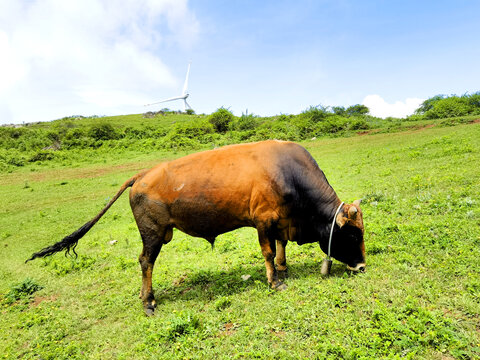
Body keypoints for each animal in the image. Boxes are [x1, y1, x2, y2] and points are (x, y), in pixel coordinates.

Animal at [27, 141, 364, 316]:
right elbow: (268, 252)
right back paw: (148, 301)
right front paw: (275, 281)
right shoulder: (262, 221)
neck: (287, 171)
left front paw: (283, 270)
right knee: (146, 262)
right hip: (152, 234)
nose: (361, 267)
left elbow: (280, 247)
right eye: (352, 233)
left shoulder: (280, 219)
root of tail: (142, 175)